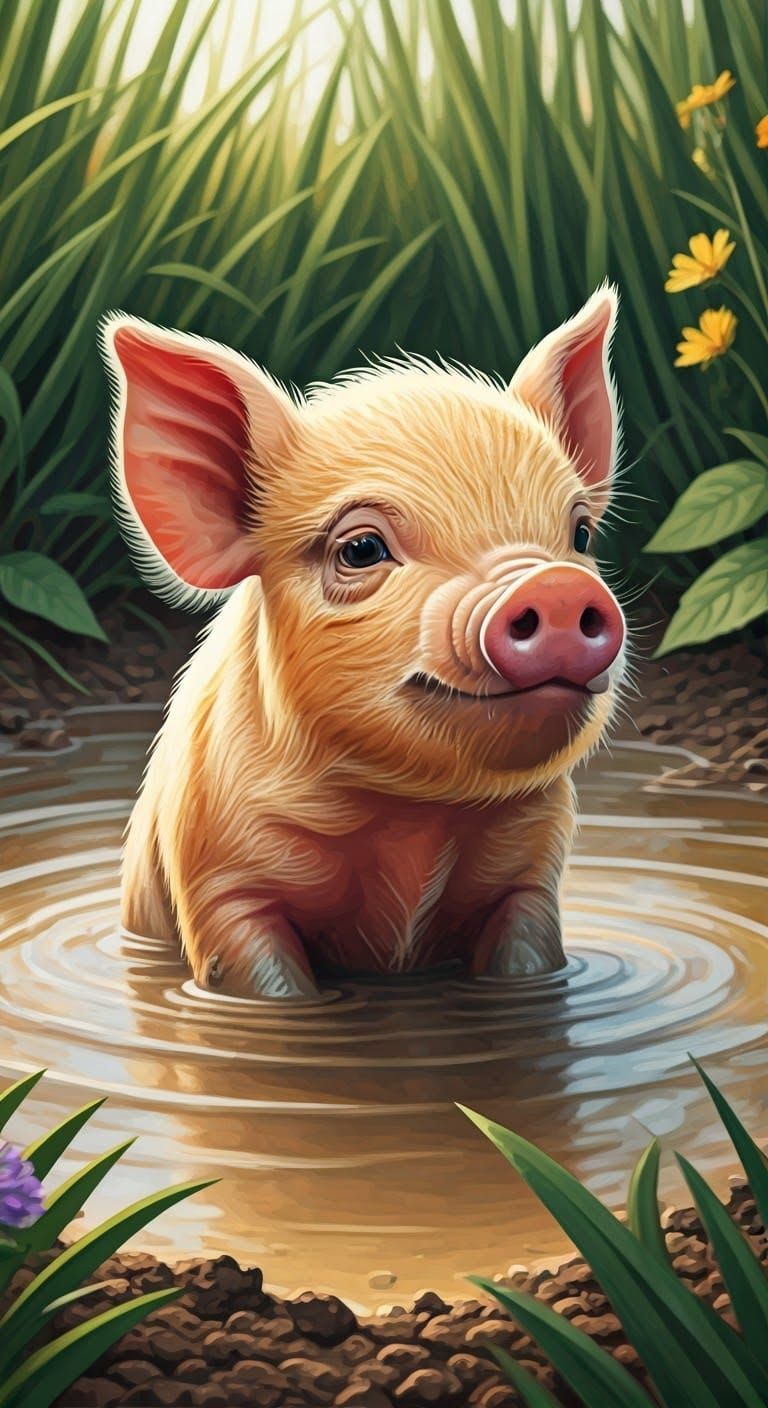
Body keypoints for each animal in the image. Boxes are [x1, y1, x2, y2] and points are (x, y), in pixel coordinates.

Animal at [101, 283, 626, 1000]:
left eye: (580, 535)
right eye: (361, 549)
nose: (556, 587)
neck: (412, 819)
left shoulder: (531, 871)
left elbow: (528, 959)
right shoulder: (218, 878)